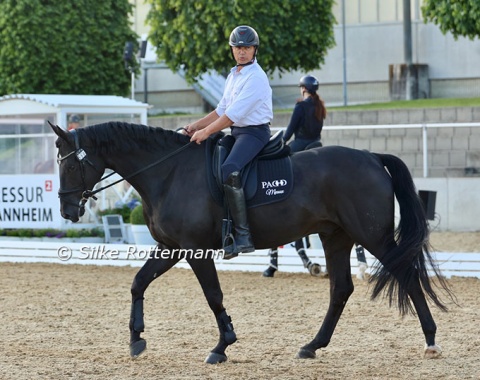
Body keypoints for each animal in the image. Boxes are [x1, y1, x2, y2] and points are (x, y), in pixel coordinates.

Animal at [50, 122, 452, 366]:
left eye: (68, 165)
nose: (68, 211)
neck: (169, 173)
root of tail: (371, 157)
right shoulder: (170, 247)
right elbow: (138, 283)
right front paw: (136, 339)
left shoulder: (194, 249)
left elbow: (213, 295)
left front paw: (223, 344)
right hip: (335, 236)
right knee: (341, 288)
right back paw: (312, 346)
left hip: (371, 237)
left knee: (406, 276)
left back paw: (431, 340)